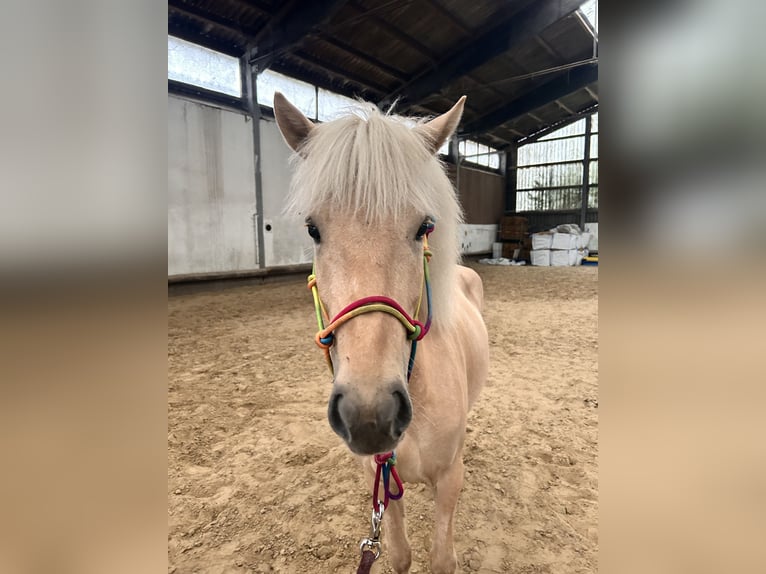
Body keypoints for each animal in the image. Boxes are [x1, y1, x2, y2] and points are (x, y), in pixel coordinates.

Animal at [273, 91, 489, 574]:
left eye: (423, 226)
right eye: (313, 229)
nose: (369, 415)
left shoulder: (450, 479)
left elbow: (441, 558)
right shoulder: (380, 481)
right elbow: (399, 554)